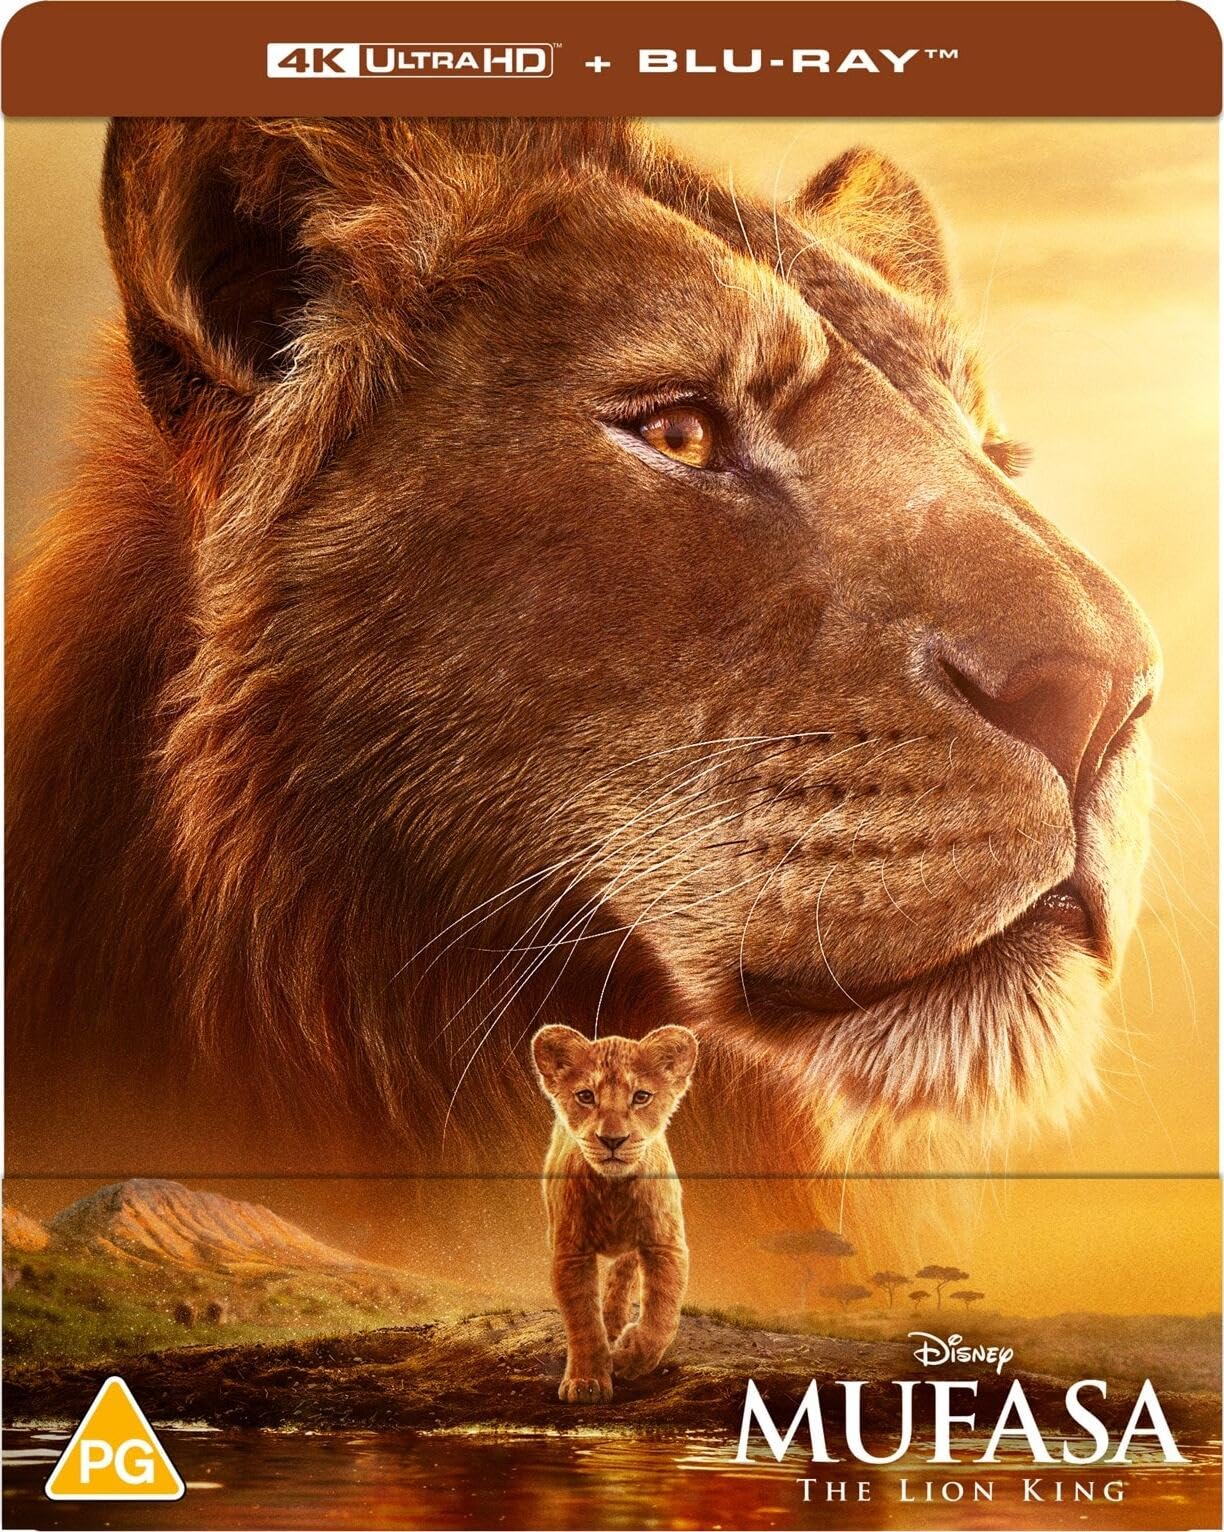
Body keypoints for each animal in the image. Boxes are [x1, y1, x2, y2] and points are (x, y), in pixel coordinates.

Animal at [531, 1023, 698, 1402]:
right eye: (585, 1096)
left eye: (641, 1096)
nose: (612, 1140)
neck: (614, 1188)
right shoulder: (571, 1252)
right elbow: (582, 1320)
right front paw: (586, 1382)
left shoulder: (665, 1245)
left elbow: (662, 1316)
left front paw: (627, 1358)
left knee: (624, 1272)